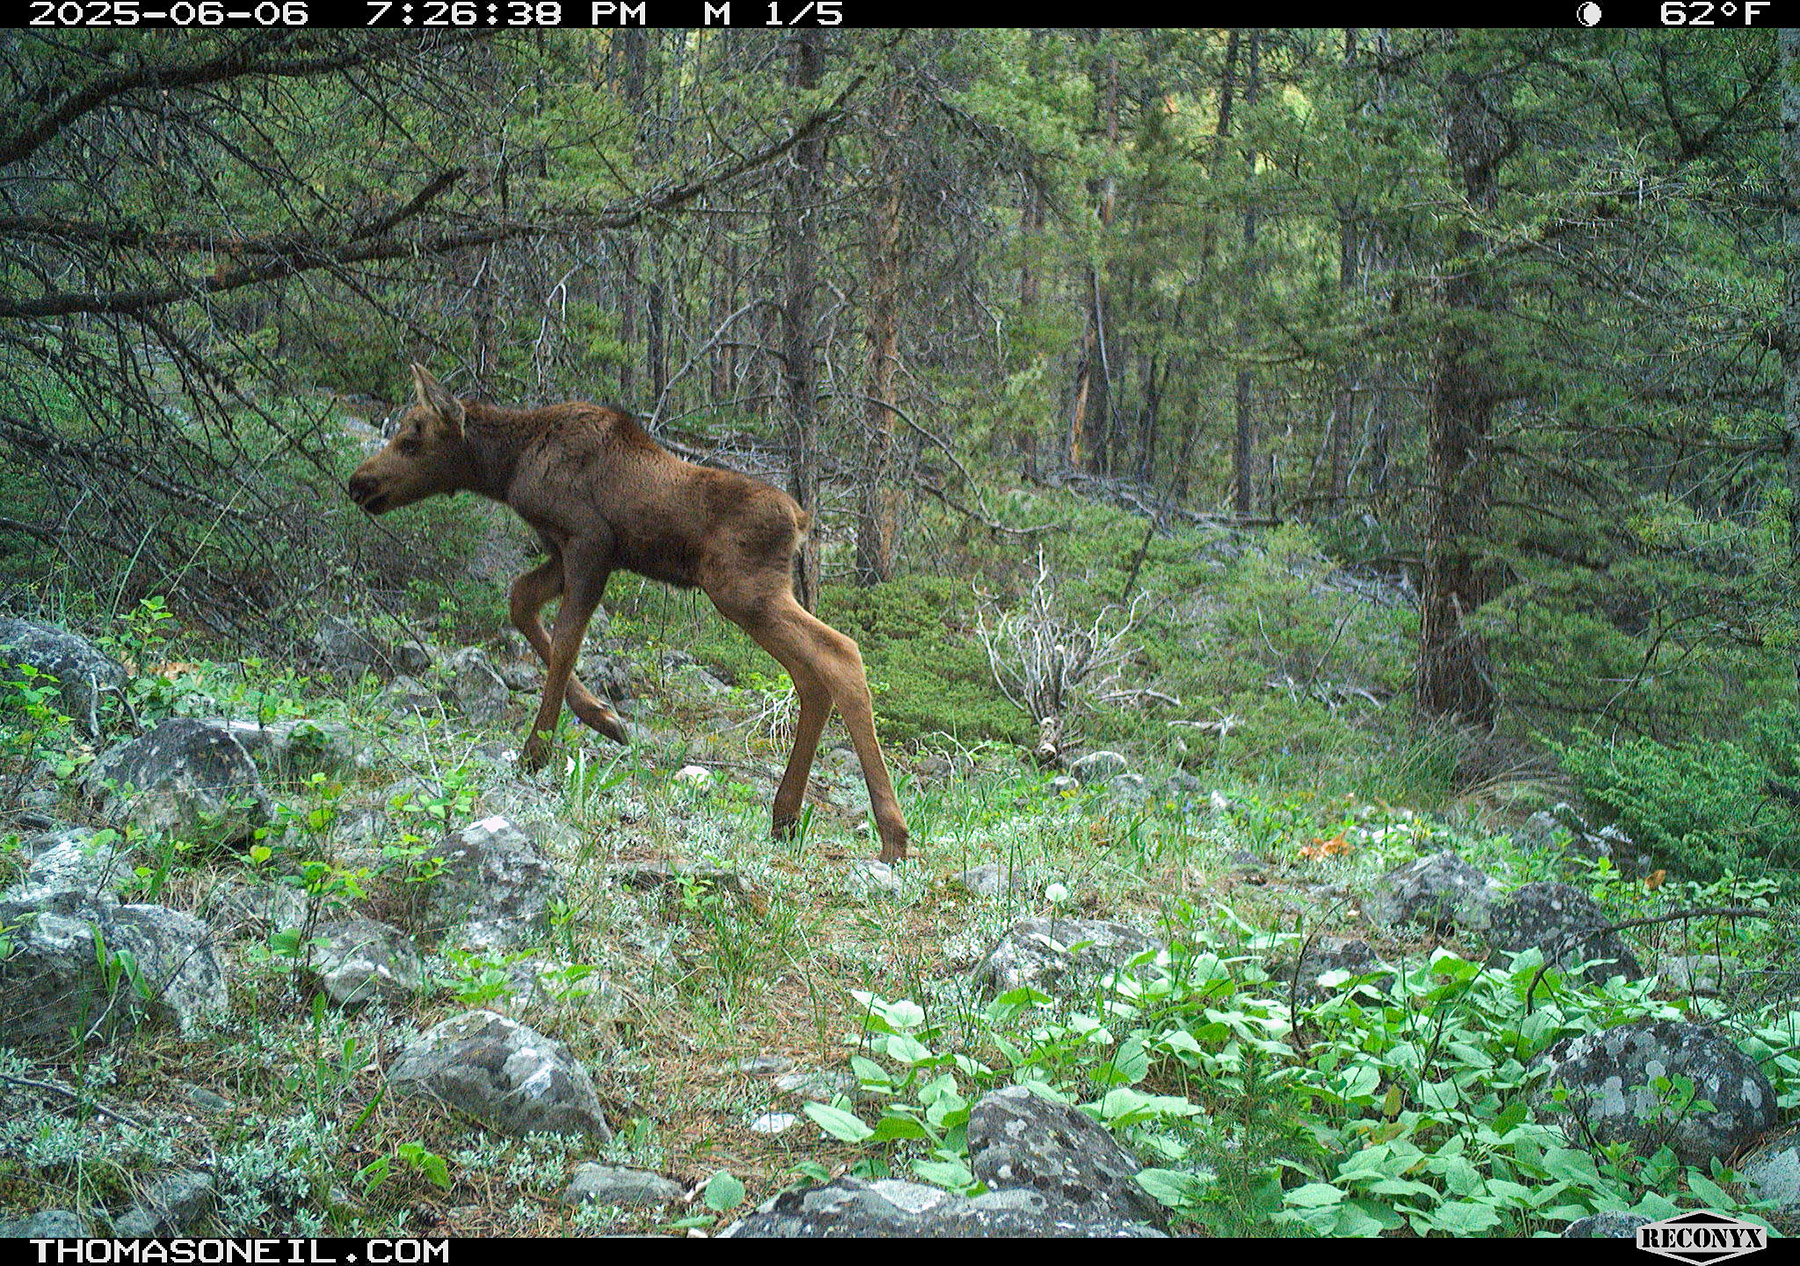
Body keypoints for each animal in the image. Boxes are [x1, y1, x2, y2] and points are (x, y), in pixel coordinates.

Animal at [348, 364, 910, 865]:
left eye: (413, 439)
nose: (358, 483)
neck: (507, 467)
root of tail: (801, 521)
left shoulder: (589, 543)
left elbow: (566, 640)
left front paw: (538, 750)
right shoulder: (565, 551)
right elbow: (520, 599)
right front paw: (603, 717)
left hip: (744, 591)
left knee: (840, 653)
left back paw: (892, 836)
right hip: (760, 595)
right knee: (811, 675)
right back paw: (786, 815)